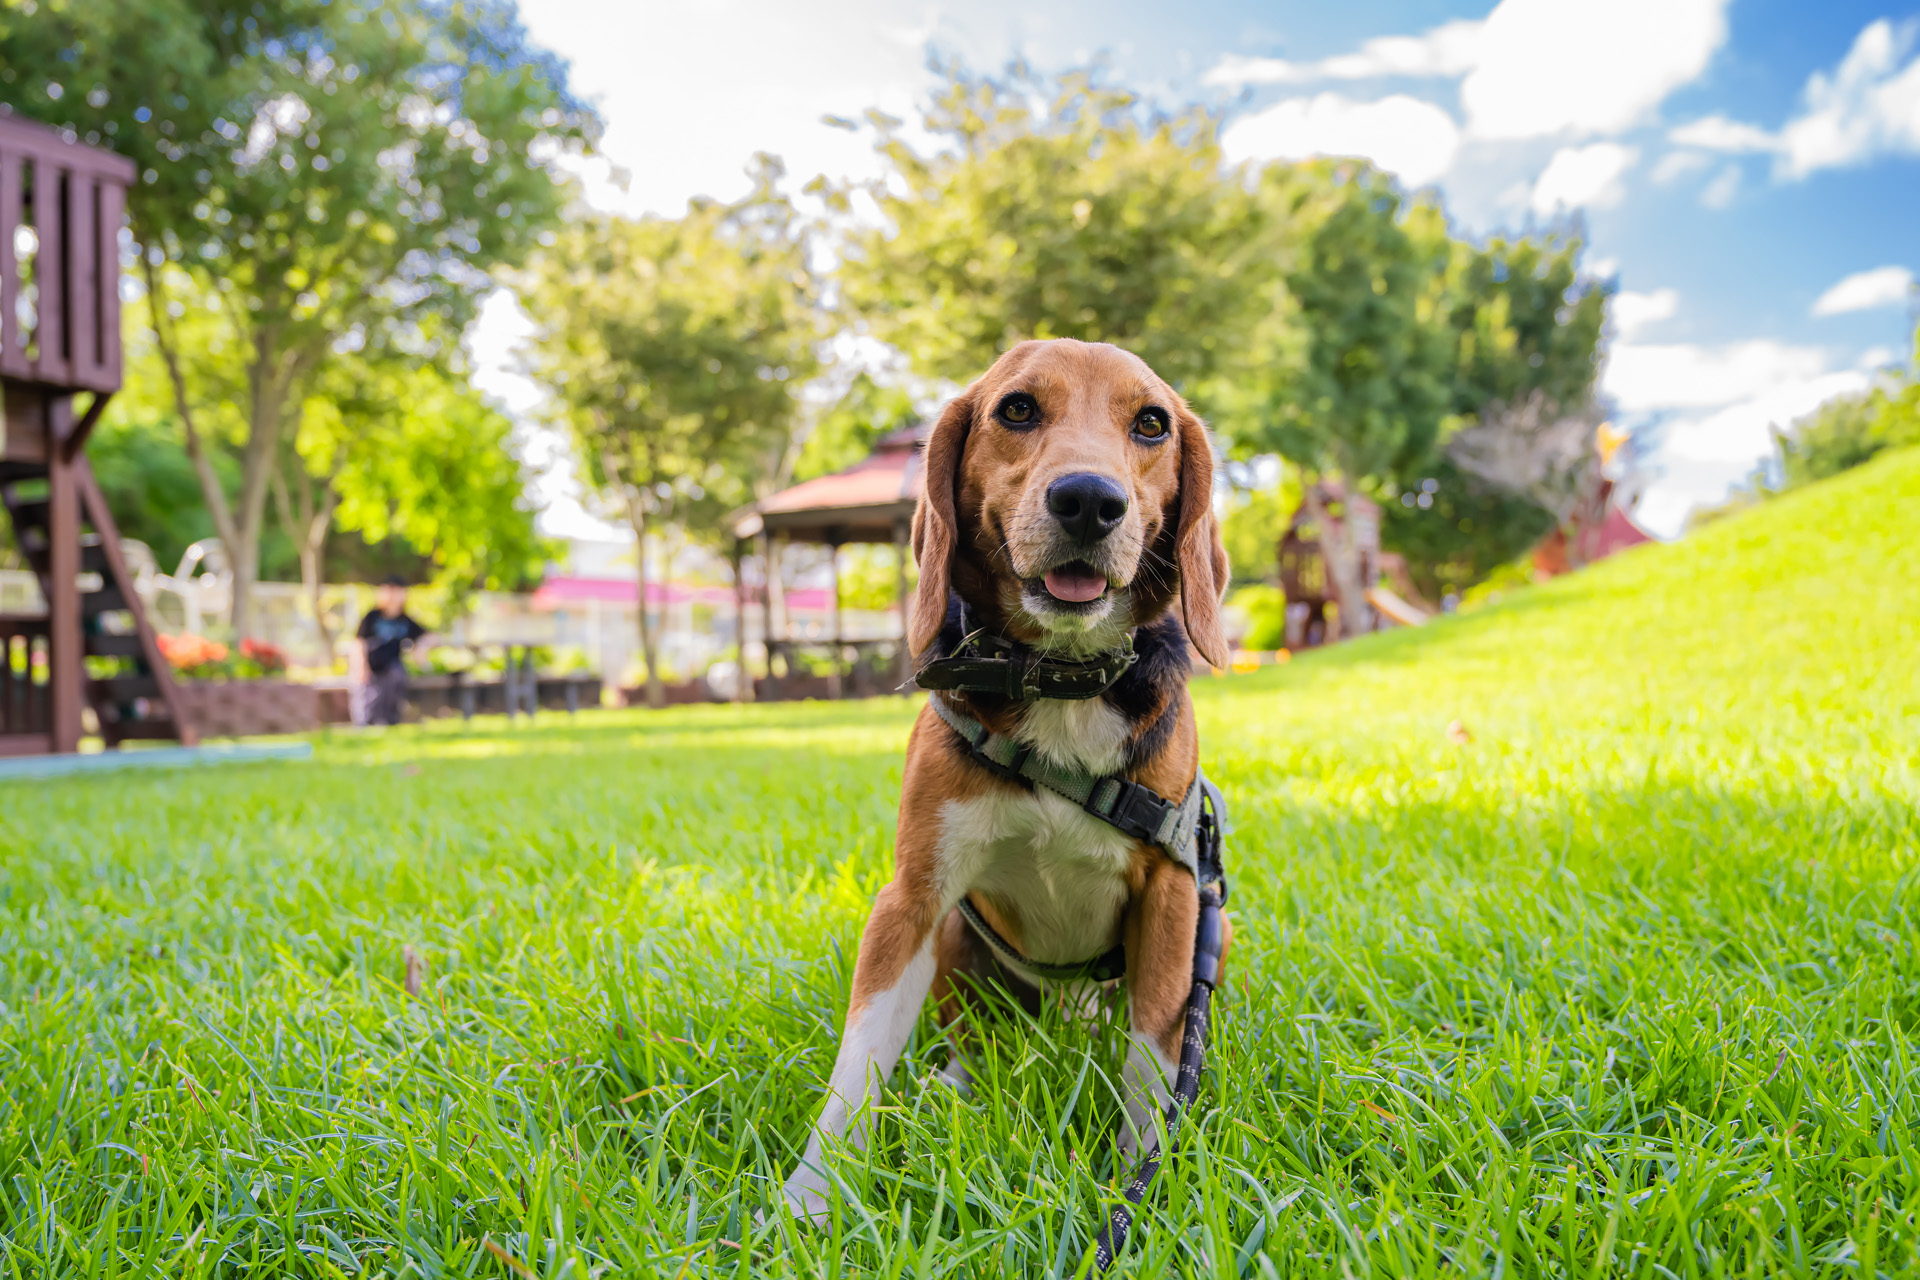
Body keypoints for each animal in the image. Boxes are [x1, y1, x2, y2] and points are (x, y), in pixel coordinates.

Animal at [780, 338, 1232, 1222]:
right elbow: (858, 1066)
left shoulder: (1172, 894)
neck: (1061, 678)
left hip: (1211, 927)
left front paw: (1142, 1175)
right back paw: (956, 1084)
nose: (1089, 500)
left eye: (1151, 424)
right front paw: (808, 1202)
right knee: (973, 1038)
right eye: (1016, 409)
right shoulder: (910, 900)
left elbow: (1150, 1062)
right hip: (959, 935)